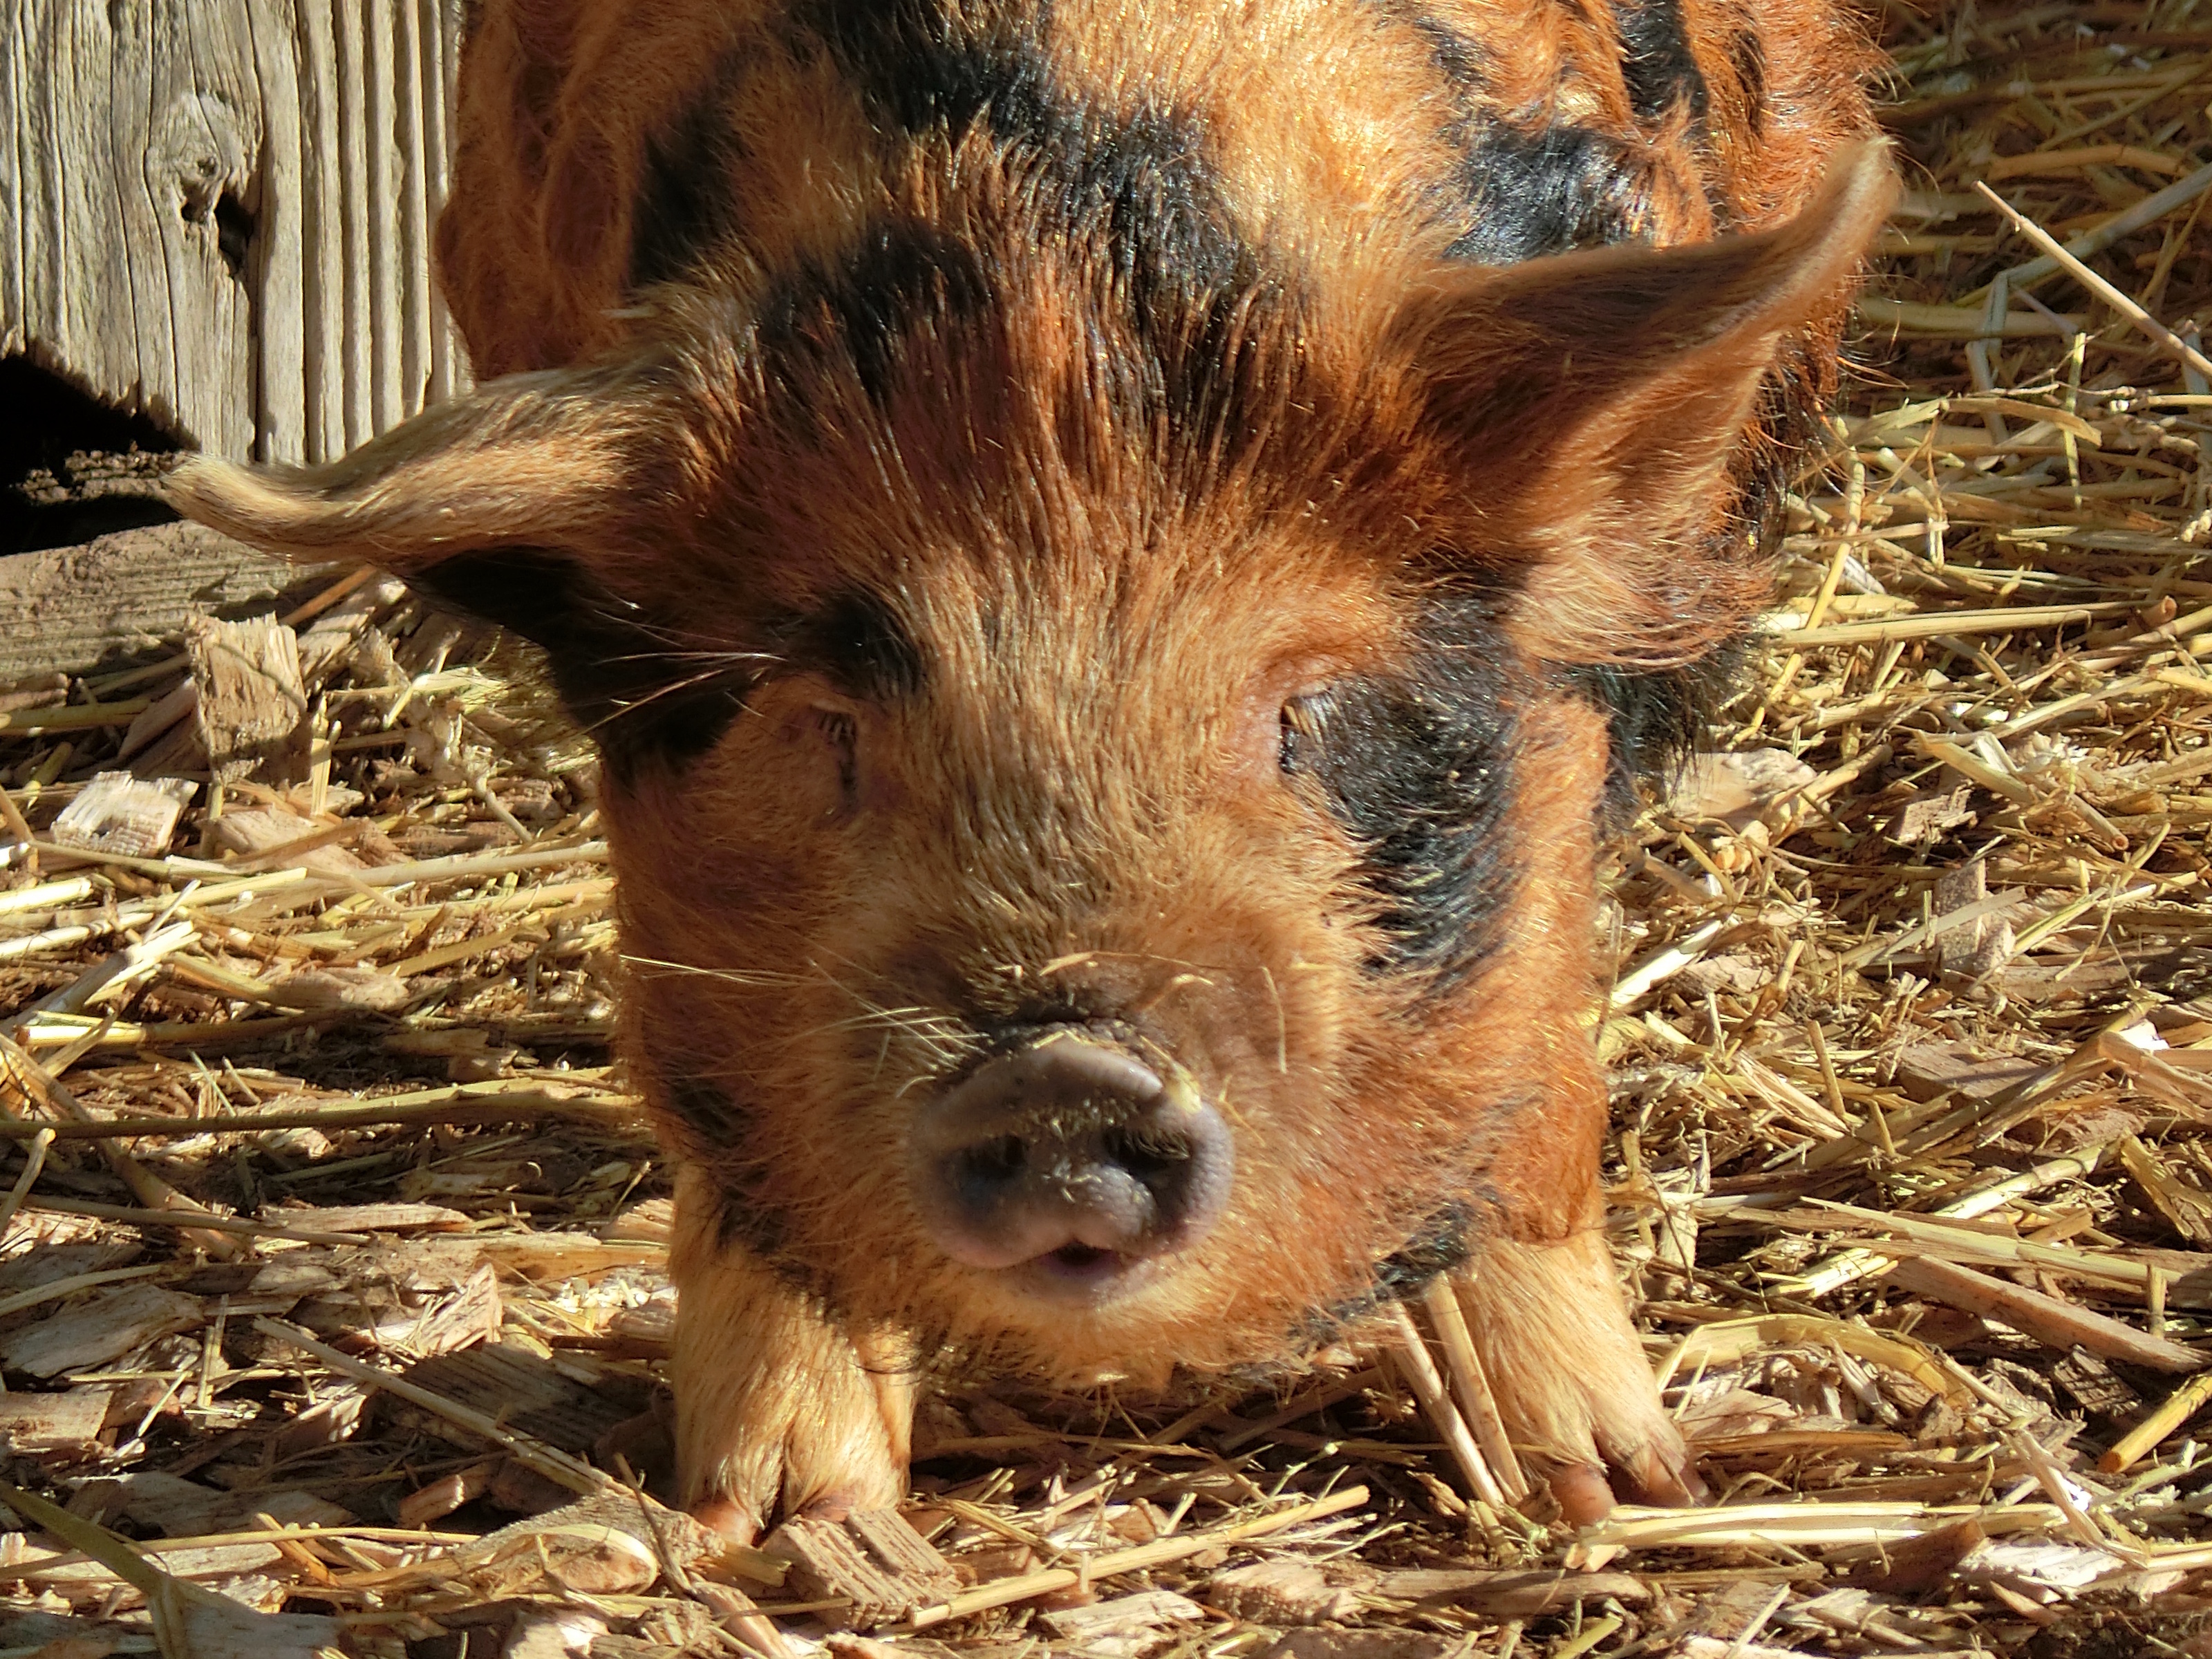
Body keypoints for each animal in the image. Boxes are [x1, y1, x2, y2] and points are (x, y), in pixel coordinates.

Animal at [170, 0, 1889, 1537]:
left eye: (1302, 708)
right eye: (830, 724)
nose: (1061, 1075)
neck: (1066, 199)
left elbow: (1541, 1082)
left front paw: (1618, 1492)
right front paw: (773, 1523)